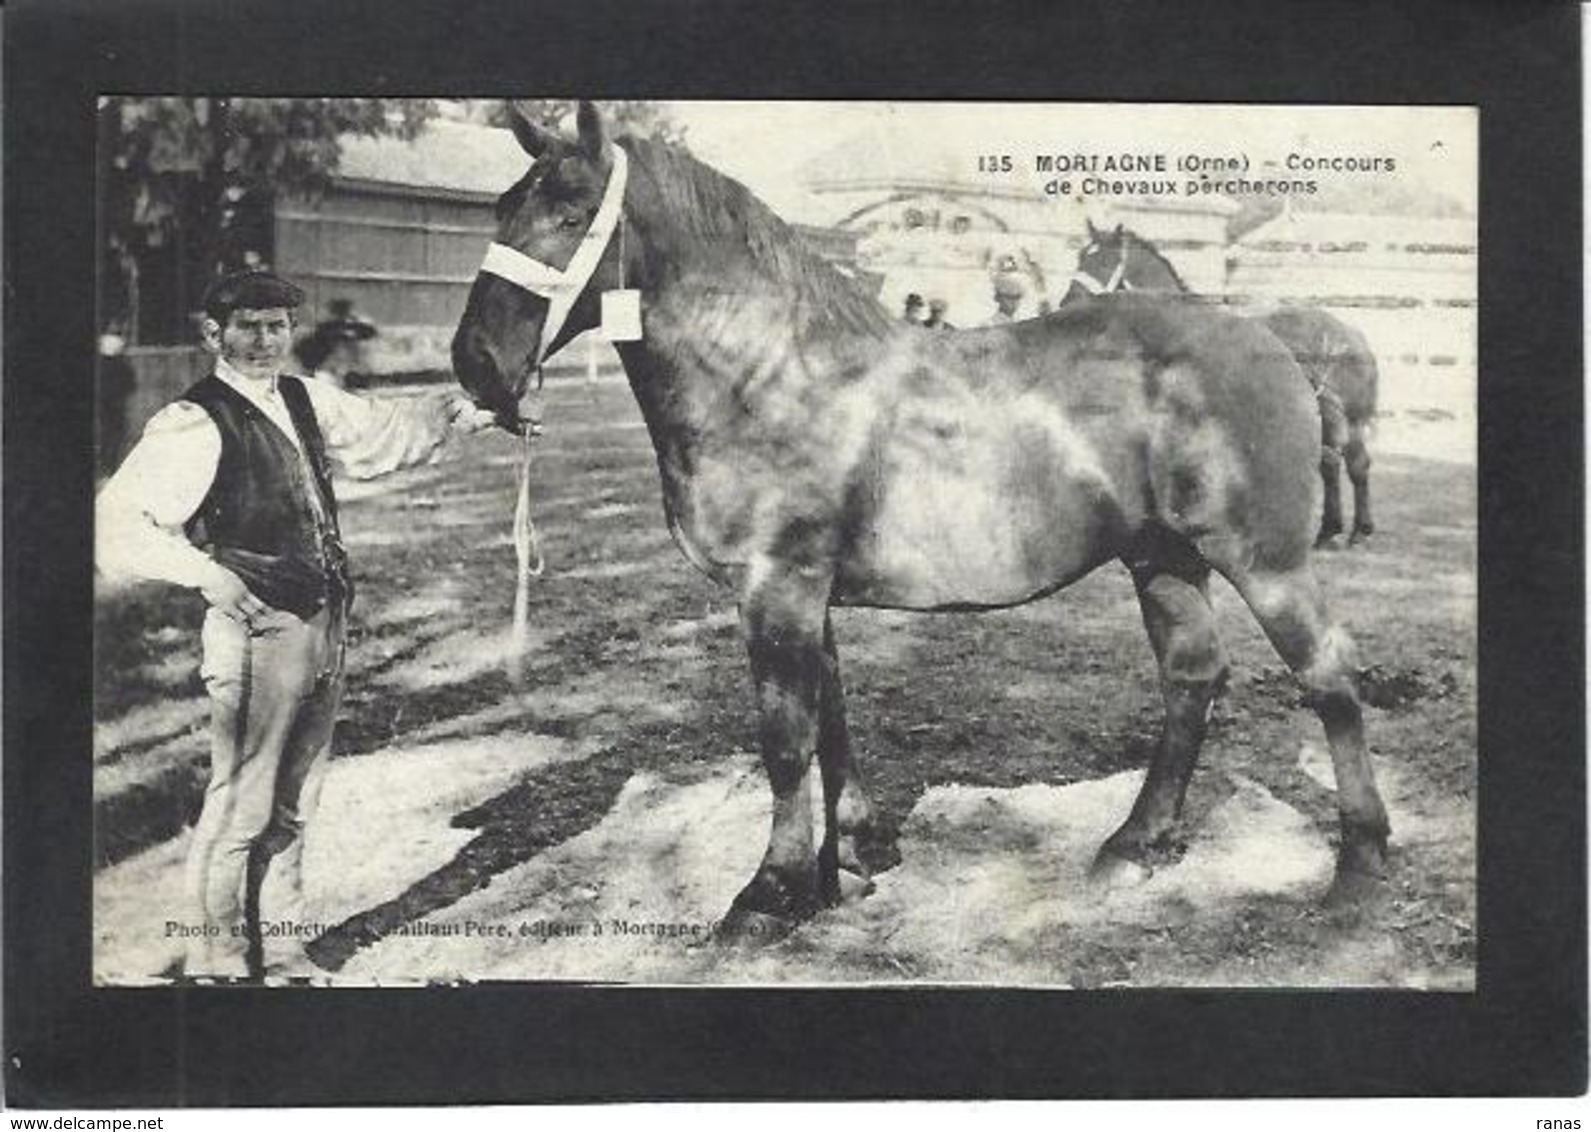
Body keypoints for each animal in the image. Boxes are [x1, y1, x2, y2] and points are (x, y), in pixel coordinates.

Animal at [1069, 222, 1380, 546]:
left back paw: (1360, 530)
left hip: (1353, 422)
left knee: (1357, 466)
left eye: (1106, 262)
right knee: (1330, 466)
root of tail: (1353, 335)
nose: (1068, 303)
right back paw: (1329, 531)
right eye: (1081, 258)